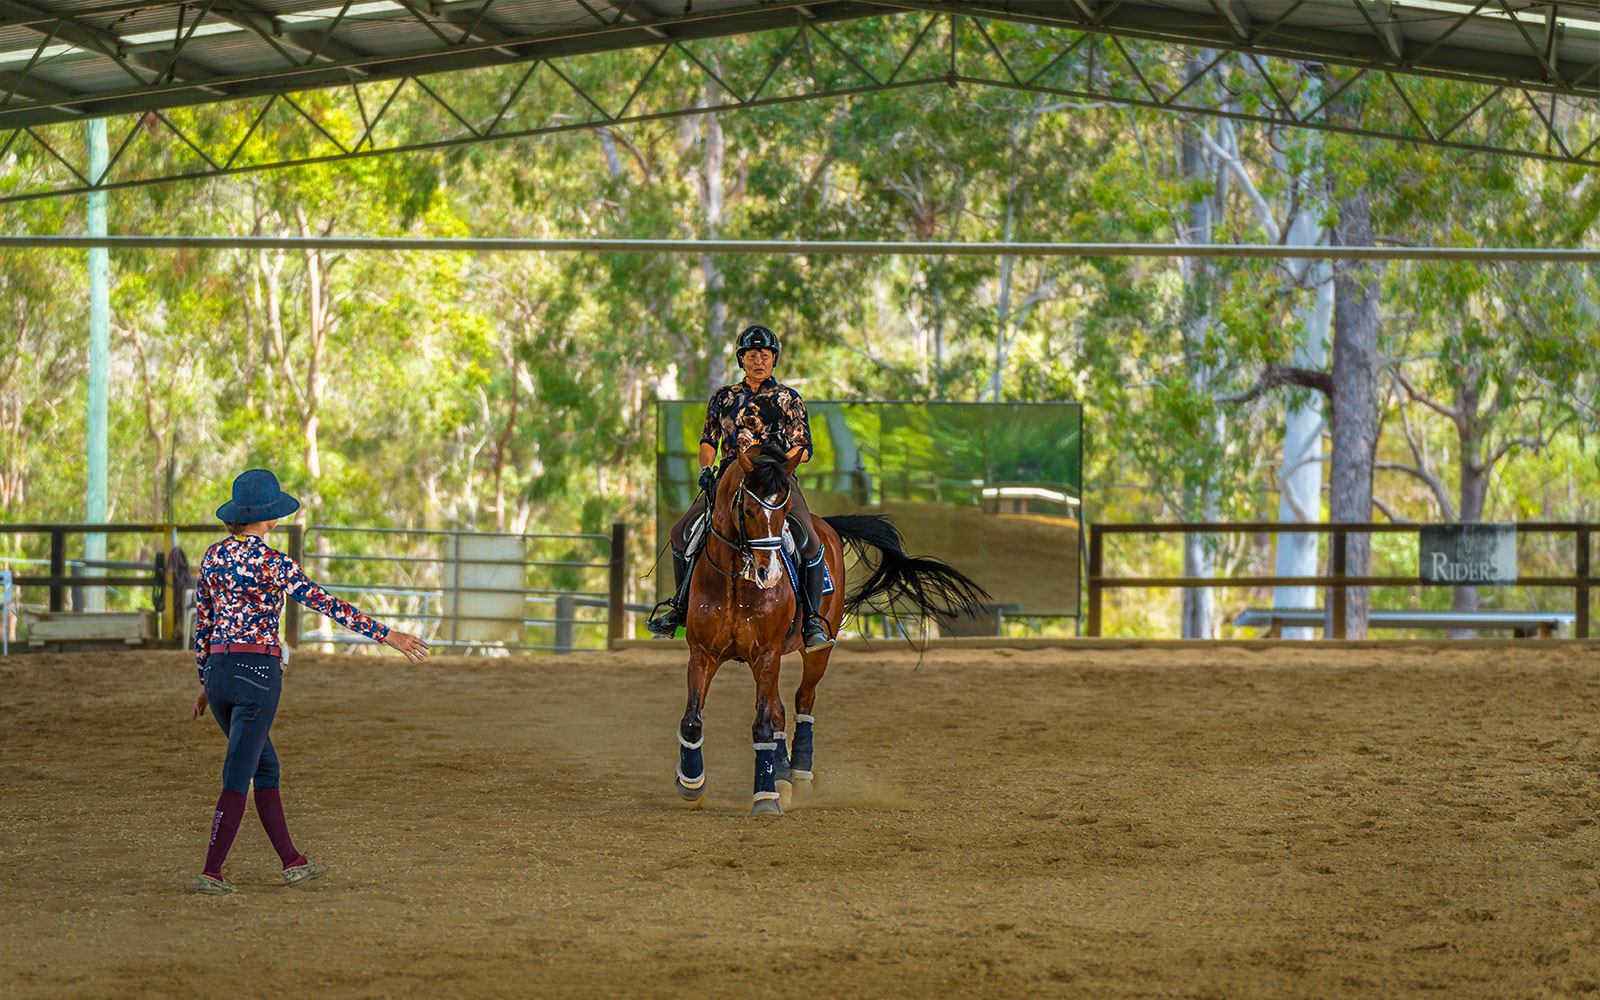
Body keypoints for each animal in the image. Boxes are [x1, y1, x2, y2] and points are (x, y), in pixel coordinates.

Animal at [665, 441, 985, 816]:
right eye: (748, 510)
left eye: (785, 509)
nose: (769, 574)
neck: (733, 580)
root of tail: (824, 526)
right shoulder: (703, 652)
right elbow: (693, 721)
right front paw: (691, 782)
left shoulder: (766, 654)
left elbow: (763, 725)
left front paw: (766, 798)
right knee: (780, 710)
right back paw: (784, 777)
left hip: (815, 651)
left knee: (803, 700)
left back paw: (799, 775)